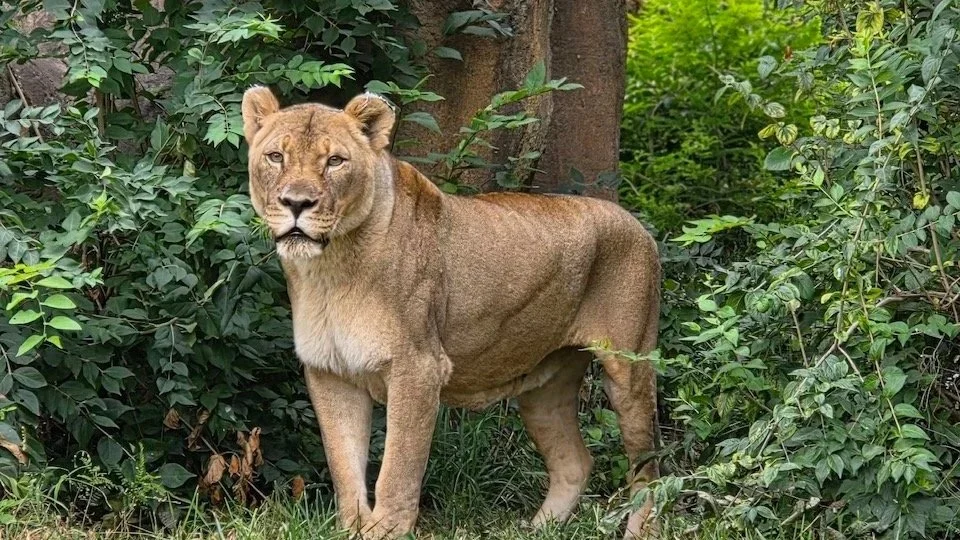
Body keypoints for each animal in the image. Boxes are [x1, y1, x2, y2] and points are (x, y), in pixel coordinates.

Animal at [240, 86, 661, 539]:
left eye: (335, 161)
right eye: (275, 157)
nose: (296, 203)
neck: (330, 268)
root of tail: (636, 223)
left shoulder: (418, 367)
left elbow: (397, 467)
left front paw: (386, 529)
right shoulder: (331, 371)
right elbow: (343, 465)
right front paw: (352, 528)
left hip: (629, 372)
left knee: (649, 470)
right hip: (544, 389)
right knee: (576, 462)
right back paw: (536, 530)